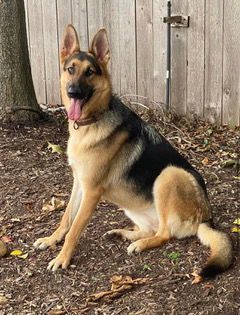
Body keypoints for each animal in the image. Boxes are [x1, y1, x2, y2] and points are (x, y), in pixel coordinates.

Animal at [34, 25, 232, 280]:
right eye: (71, 69)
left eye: (90, 72)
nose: (73, 92)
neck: (92, 121)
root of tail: (206, 218)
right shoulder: (79, 183)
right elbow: (66, 218)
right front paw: (51, 239)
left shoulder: (92, 191)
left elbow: (75, 228)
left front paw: (62, 258)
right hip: (132, 207)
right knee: (151, 229)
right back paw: (123, 233)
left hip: (170, 175)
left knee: (164, 234)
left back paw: (139, 244)